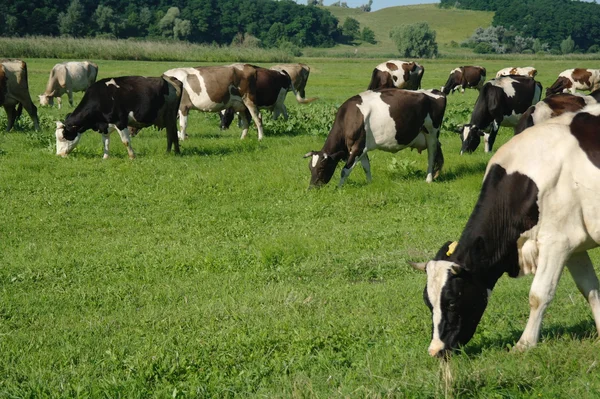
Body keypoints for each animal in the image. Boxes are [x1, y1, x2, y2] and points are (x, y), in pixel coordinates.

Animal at [54, 76, 182, 159]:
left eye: (63, 137)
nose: (59, 155)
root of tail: (169, 80)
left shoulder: (120, 122)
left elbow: (125, 141)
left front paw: (132, 157)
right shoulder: (104, 125)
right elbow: (105, 142)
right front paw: (105, 157)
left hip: (170, 116)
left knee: (172, 134)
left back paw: (172, 152)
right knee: (172, 133)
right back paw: (172, 152)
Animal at [304, 88, 446, 188]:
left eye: (321, 168)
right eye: (310, 168)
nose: (311, 187)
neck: (350, 117)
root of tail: (436, 92)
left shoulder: (358, 147)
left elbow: (345, 170)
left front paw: (339, 187)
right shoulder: (362, 147)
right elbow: (366, 167)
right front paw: (369, 183)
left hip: (432, 133)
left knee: (431, 155)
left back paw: (429, 179)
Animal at [412, 104, 600, 358]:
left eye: (451, 301)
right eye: (428, 302)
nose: (436, 350)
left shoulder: (557, 242)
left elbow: (539, 294)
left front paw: (524, 344)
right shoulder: (573, 243)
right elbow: (590, 289)